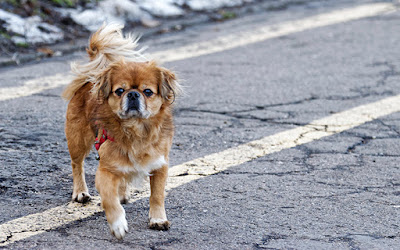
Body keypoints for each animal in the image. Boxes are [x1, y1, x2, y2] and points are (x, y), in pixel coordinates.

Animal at [63, 24, 182, 239]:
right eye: (119, 91)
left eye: (148, 91)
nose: (133, 94)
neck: (135, 130)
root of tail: (89, 80)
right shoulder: (105, 171)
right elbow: (109, 200)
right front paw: (118, 223)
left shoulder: (160, 166)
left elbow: (157, 195)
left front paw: (158, 219)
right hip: (78, 141)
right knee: (77, 165)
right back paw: (80, 192)